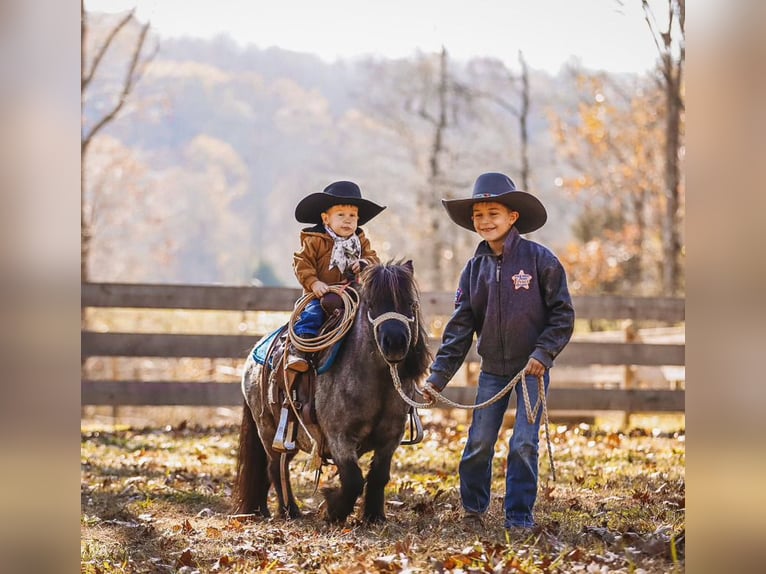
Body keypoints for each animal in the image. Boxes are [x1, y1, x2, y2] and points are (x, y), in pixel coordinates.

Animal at [234, 264, 432, 524]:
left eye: (410, 304)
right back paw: (290, 511)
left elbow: (379, 476)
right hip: (268, 431)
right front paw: (333, 510)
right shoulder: (339, 438)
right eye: (371, 304)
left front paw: (374, 515)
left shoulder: (390, 439)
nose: (396, 342)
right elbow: (353, 480)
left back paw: (264, 510)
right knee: (276, 467)